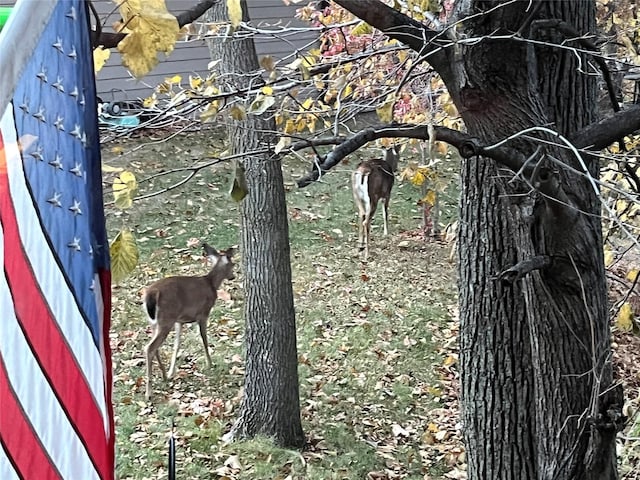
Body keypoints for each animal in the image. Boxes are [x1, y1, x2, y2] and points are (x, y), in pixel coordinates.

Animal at [143, 242, 235, 400]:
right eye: (233, 264)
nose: (233, 277)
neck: (211, 283)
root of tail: (151, 294)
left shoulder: (179, 321)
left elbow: (177, 345)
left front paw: (171, 371)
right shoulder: (203, 313)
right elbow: (204, 340)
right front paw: (210, 363)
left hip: (156, 321)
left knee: (155, 347)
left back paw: (164, 376)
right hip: (166, 319)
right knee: (150, 347)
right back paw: (149, 392)